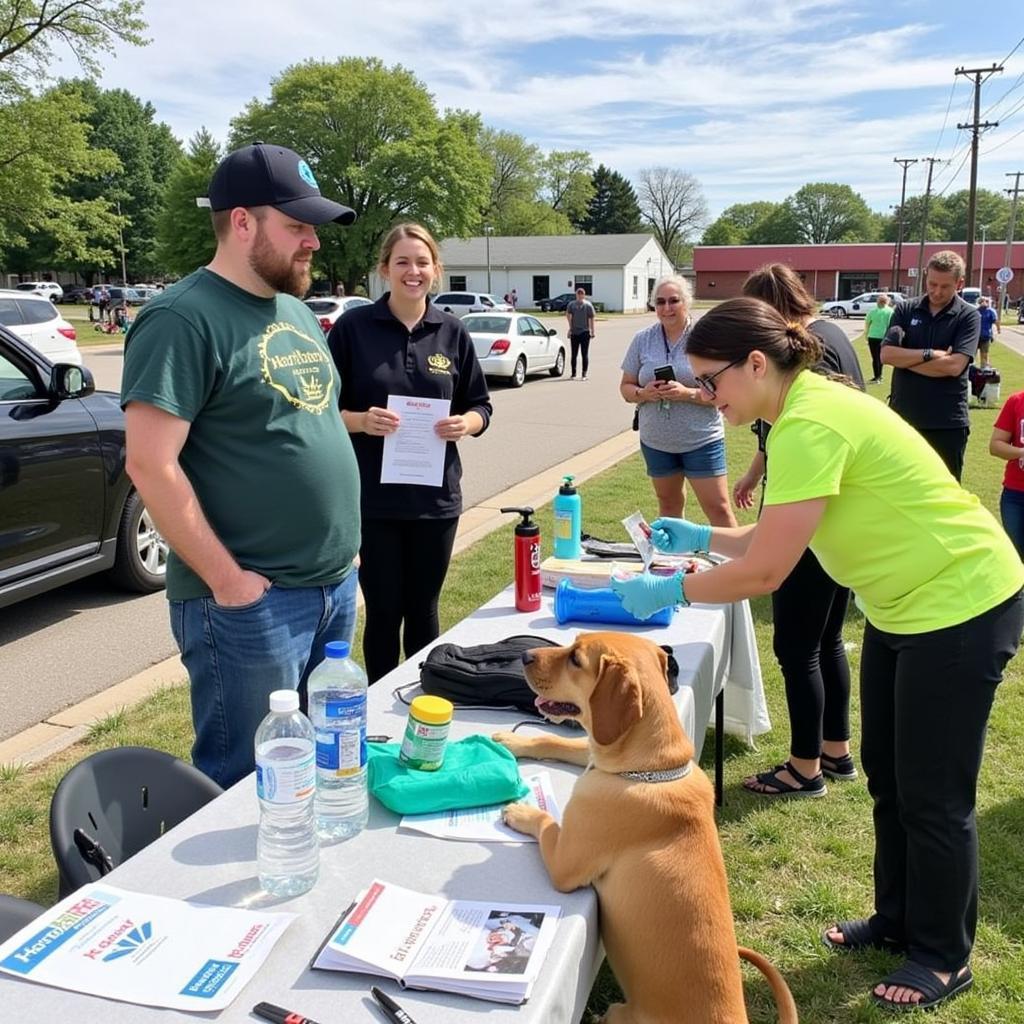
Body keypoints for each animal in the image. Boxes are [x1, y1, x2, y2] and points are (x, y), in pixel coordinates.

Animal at [491, 630, 794, 1024]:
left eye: (576, 659)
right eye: (572, 643)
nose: (525, 656)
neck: (651, 770)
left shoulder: (564, 863)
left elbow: (546, 821)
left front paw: (521, 810)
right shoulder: (596, 750)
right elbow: (555, 740)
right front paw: (515, 741)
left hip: (621, 1011)